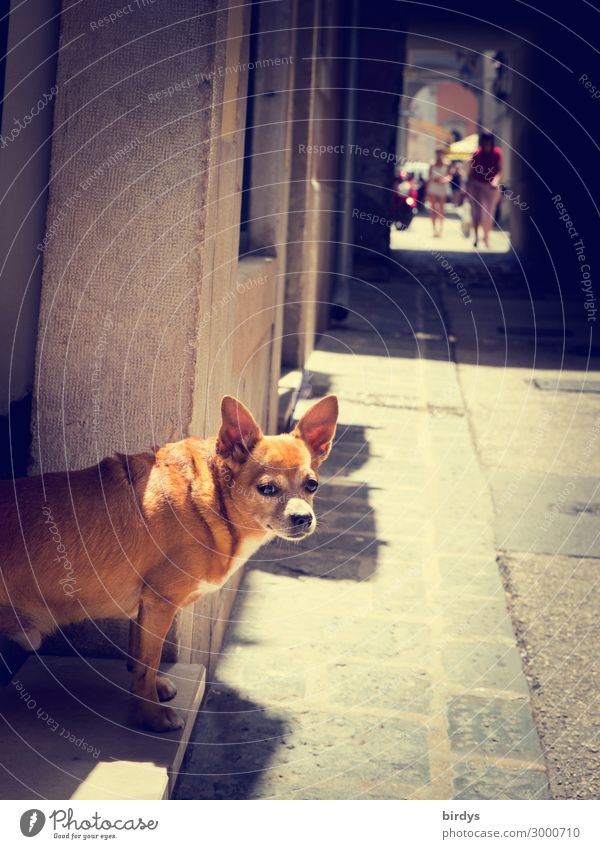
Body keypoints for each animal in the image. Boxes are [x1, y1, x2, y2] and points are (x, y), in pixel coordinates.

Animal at [0, 394, 338, 732]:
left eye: (312, 485)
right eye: (267, 489)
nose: (304, 518)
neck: (211, 498)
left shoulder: (145, 607)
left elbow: (139, 655)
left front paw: (151, 691)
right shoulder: (159, 603)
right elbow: (149, 662)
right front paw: (152, 715)